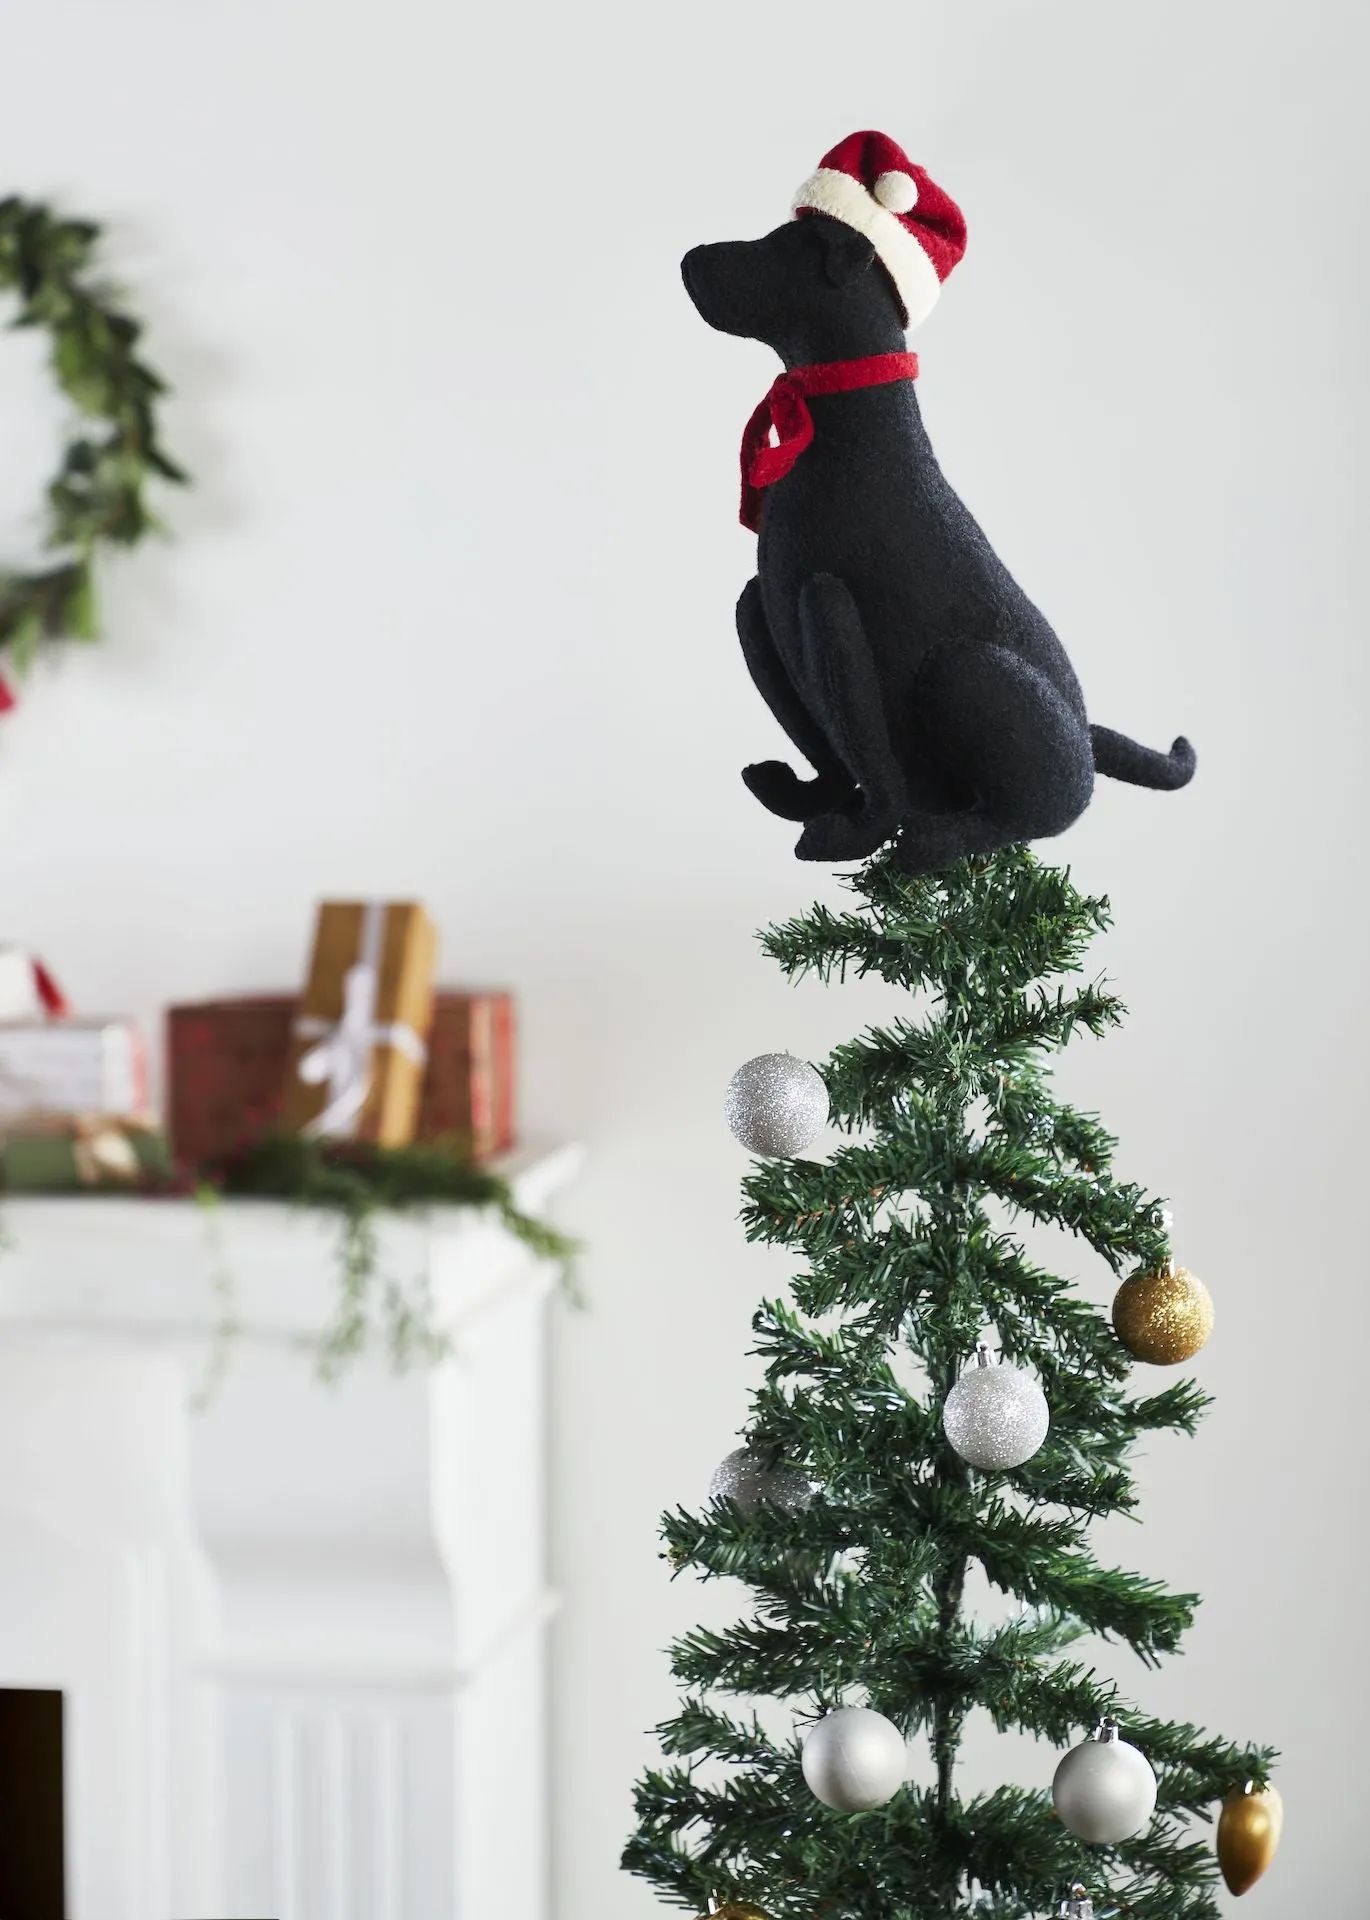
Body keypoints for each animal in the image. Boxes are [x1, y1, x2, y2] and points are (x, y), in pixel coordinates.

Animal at [679, 135, 1189, 879]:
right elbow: (832, 755)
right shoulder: (771, 608)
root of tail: (1087, 736)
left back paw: (936, 842)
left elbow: (872, 762)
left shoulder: (829, 607)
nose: (690, 257)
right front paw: (809, 802)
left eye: (781, 248)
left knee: (1039, 812)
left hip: (965, 672)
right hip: (763, 614)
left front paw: (859, 838)